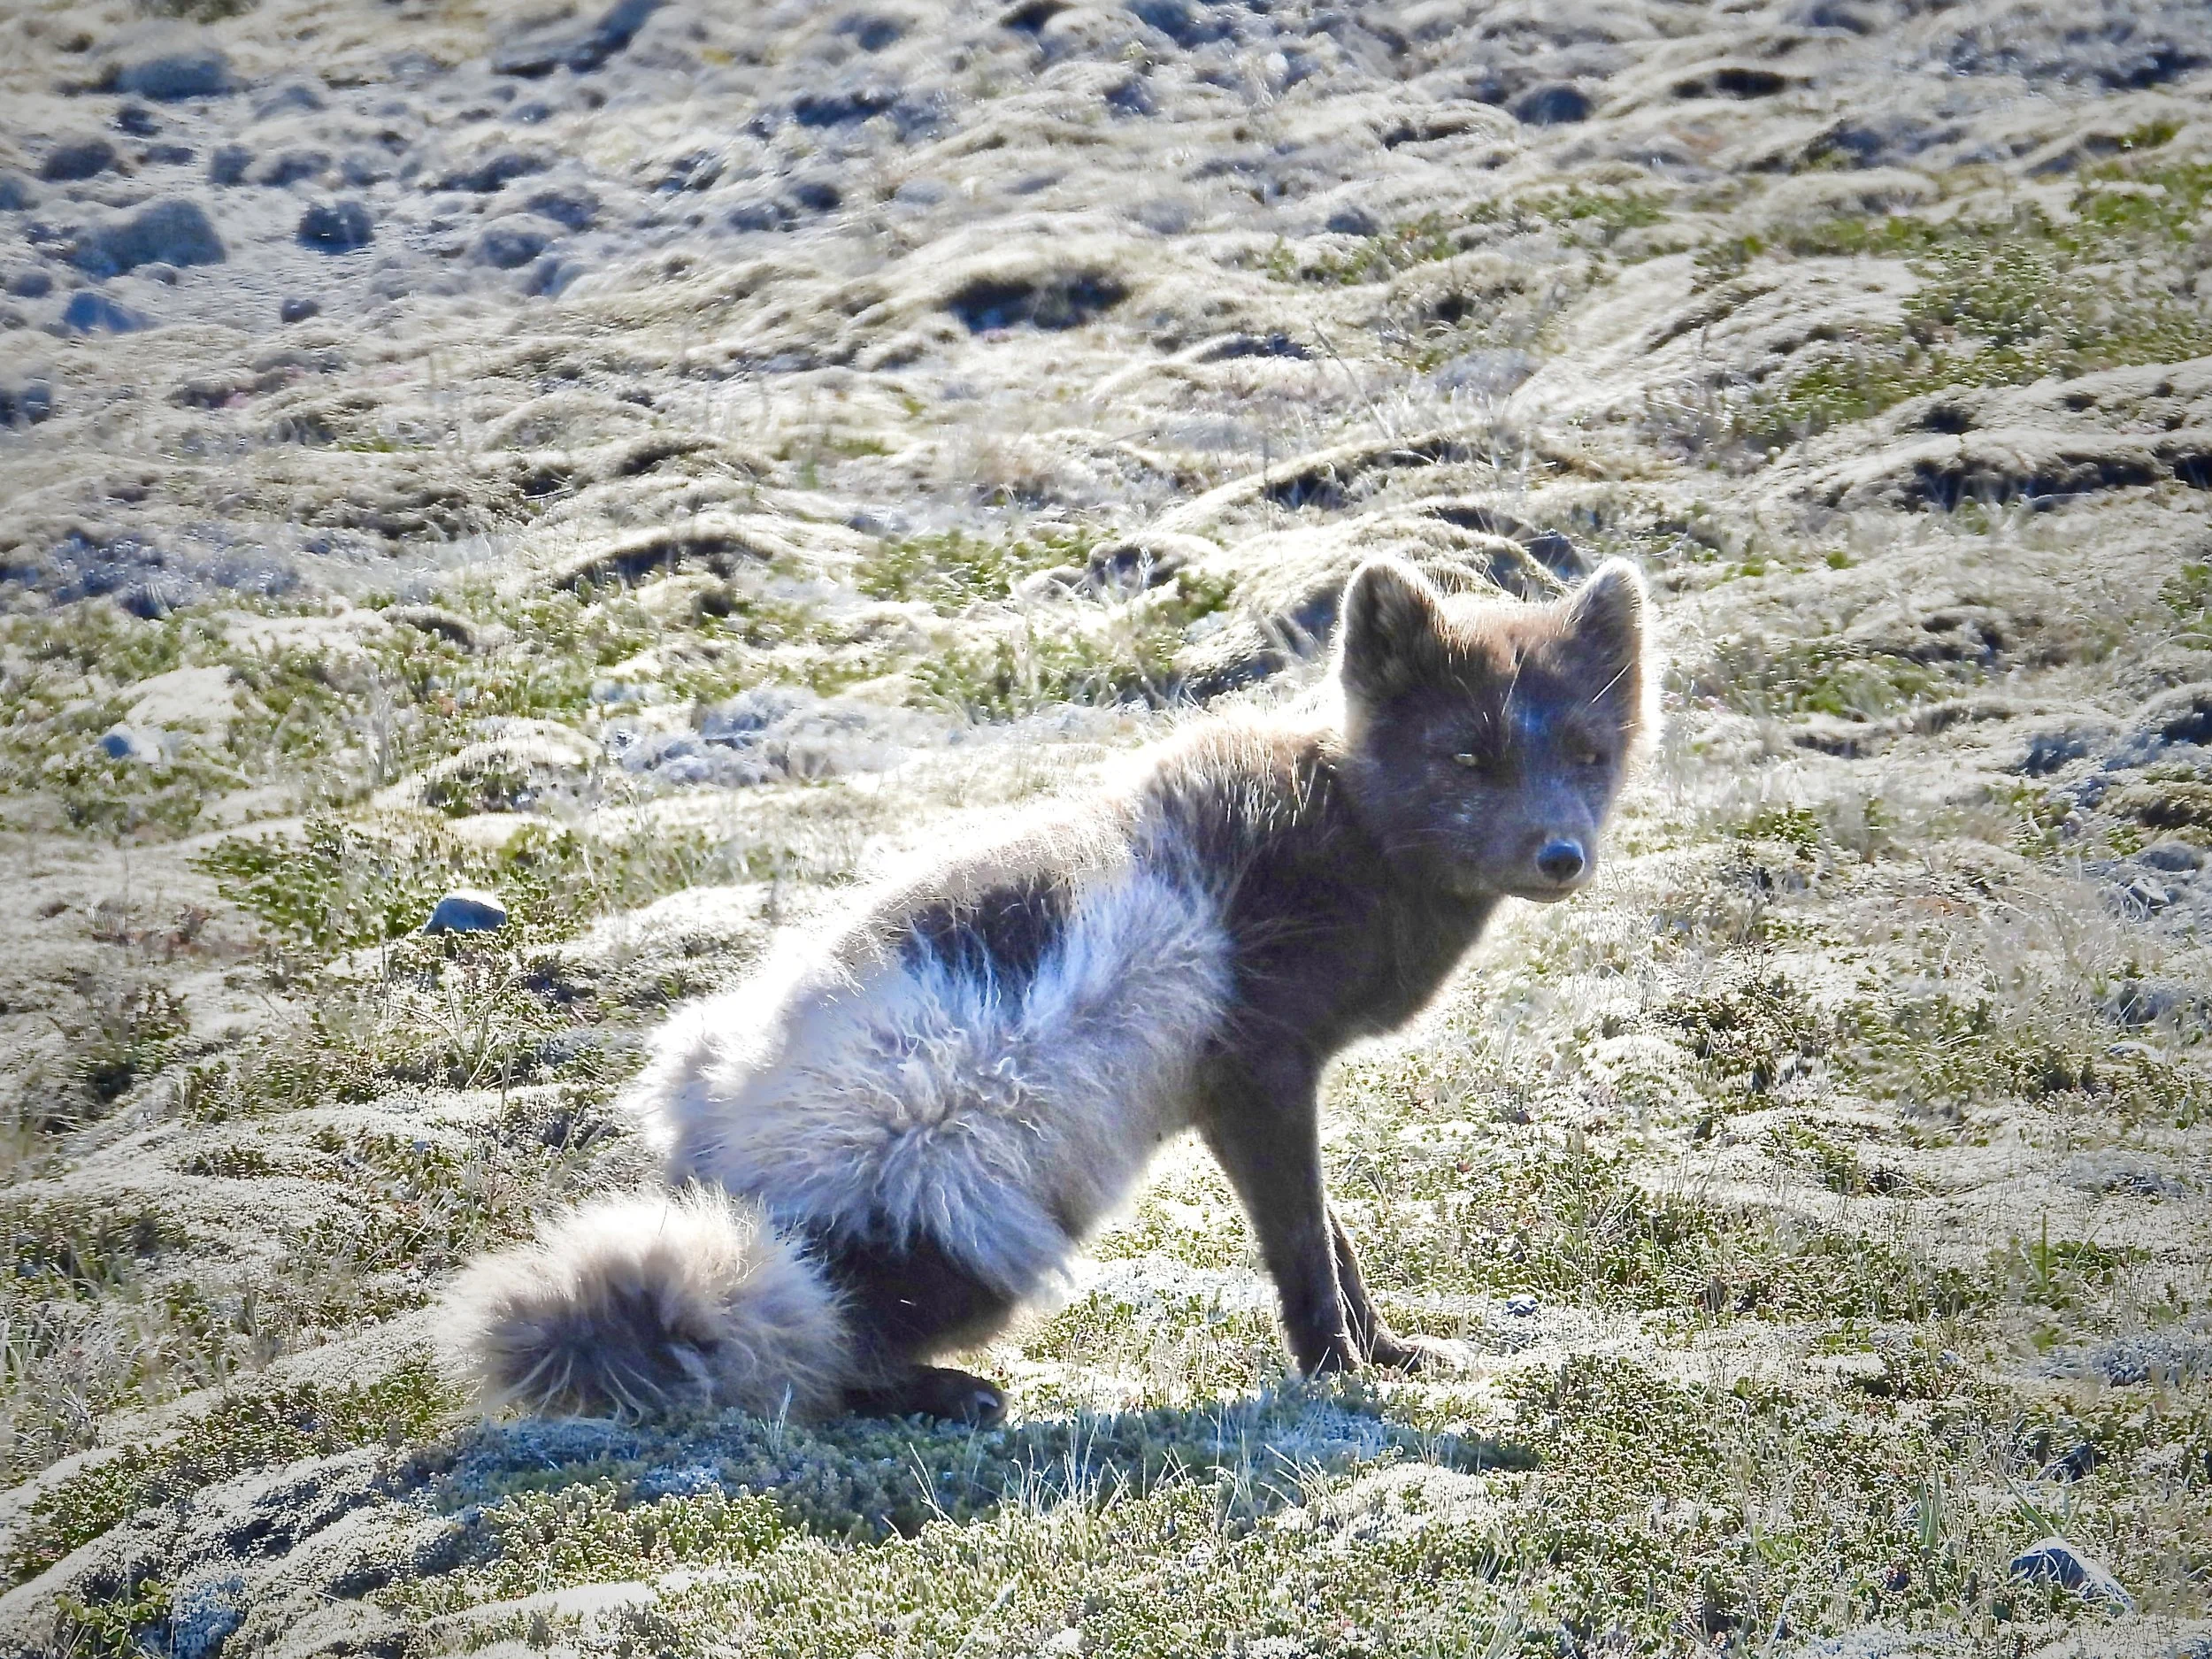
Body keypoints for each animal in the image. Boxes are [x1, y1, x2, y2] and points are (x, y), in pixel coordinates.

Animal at [446, 553, 1653, 1425]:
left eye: (1588, 755)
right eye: (1467, 760)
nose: (1562, 857)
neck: (1349, 833)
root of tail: (710, 1175)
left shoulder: (1260, 1089)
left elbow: (1335, 1235)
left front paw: (1387, 1352)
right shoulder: (1255, 1075)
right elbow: (1304, 1245)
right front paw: (1334, 1372)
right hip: (956, 1206)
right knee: (811, 1362)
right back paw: (945, 1394)